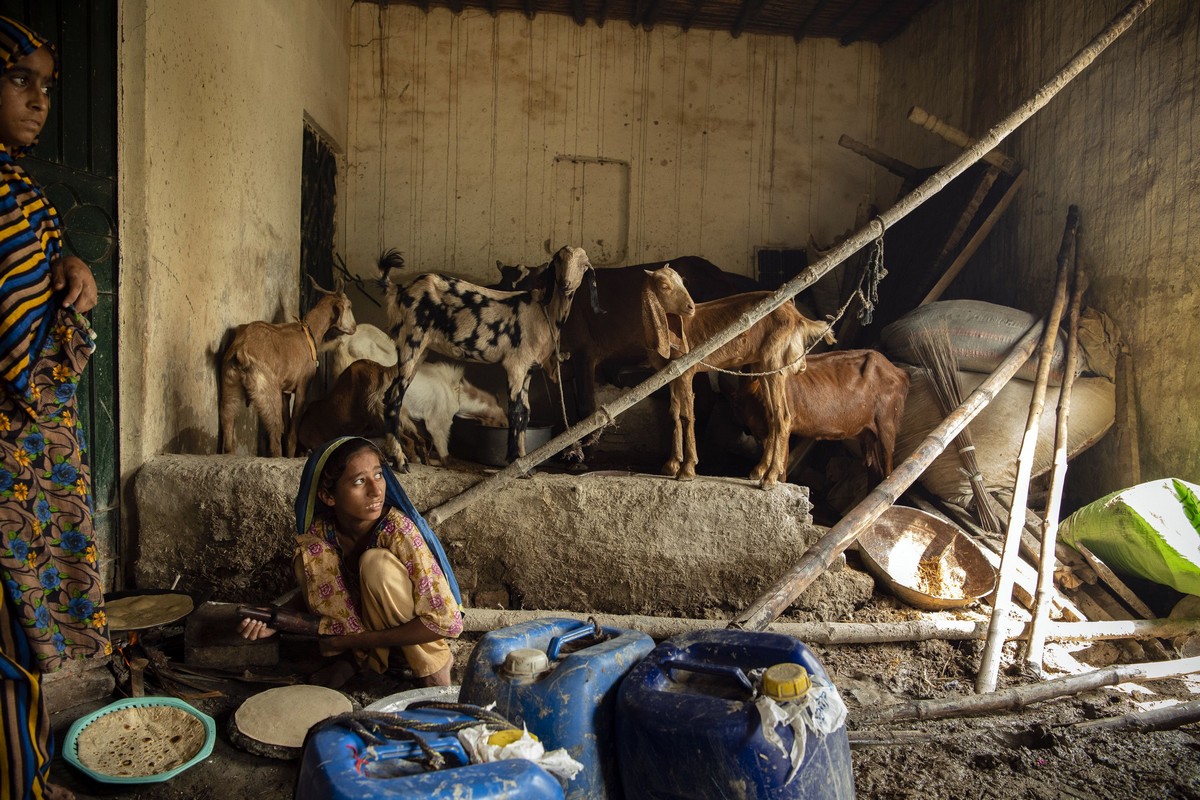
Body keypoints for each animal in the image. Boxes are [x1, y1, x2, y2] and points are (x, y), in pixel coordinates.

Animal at [219, 278, 352, 455]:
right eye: (350, 306)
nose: (354, 327)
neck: (308, 332)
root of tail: (241, 351)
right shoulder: (302, 386)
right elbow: (292, 432)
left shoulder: (285, 392)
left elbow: (288, 425)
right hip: (268, 393)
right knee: (275, 439)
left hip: (229, 388)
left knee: (228, 429)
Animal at [376, 244, 597, 470]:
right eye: (558, 260)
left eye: (584, 265)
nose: (566, 284)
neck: (543, 313)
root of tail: (397, 289)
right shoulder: (516, 364)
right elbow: (517, 412)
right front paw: (516, 461)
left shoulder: (529, 368)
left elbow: (526, 413)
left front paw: (522, 459)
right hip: (410, 341)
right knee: (394, 397)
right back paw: (400, 461)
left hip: (420, 350)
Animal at [638, 267, 835, 489]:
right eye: (664, 286)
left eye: (682, 282)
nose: (690, 307)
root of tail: (798, 316)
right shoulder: (671, 375)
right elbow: (674, 413)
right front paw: (671, 464)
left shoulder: (686, 372)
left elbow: (687, 415)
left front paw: (687, 469)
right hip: (762, 367)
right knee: (772, 416)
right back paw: (759, 471)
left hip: (775, 364)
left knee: (783, 417)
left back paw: (770, 478)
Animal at [729, 350, 907, 482]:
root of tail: (899, 372)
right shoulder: (761, 431)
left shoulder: (782, 426)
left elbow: (781, 464)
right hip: (866, 433)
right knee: (875, 471)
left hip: (886, 425)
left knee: (888, 471)